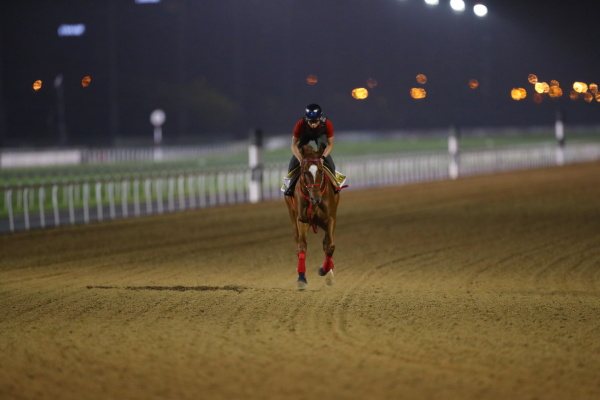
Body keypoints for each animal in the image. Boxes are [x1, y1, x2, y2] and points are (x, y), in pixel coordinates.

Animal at [284, 145, 340, 290]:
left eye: (320, 170)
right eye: (305, 172)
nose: (316, 198)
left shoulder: (330, 219)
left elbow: (330, 246)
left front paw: (325, 271)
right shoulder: (302, 220)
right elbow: (302, 246)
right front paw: (301, 279)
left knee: (326, 243)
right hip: (293, 219)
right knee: (298, 241)